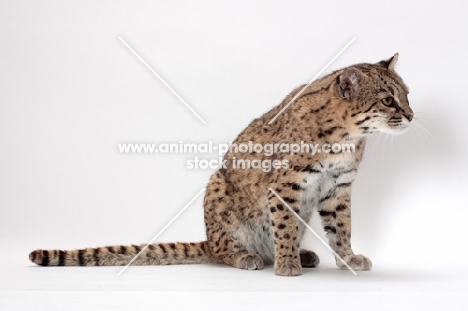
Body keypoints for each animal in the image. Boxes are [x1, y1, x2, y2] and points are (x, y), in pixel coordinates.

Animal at [29, 53, 412, 278]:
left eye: (407, 94)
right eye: (387, 100)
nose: (410, 115)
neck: (348, 137)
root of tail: (208, 240)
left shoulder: (338, 187)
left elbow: (342, 228)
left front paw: (347, 259)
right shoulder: (286, 185)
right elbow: (285, 225)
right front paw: (287, 264)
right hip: (217, 189)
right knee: (222, 251)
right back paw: (250, 256)